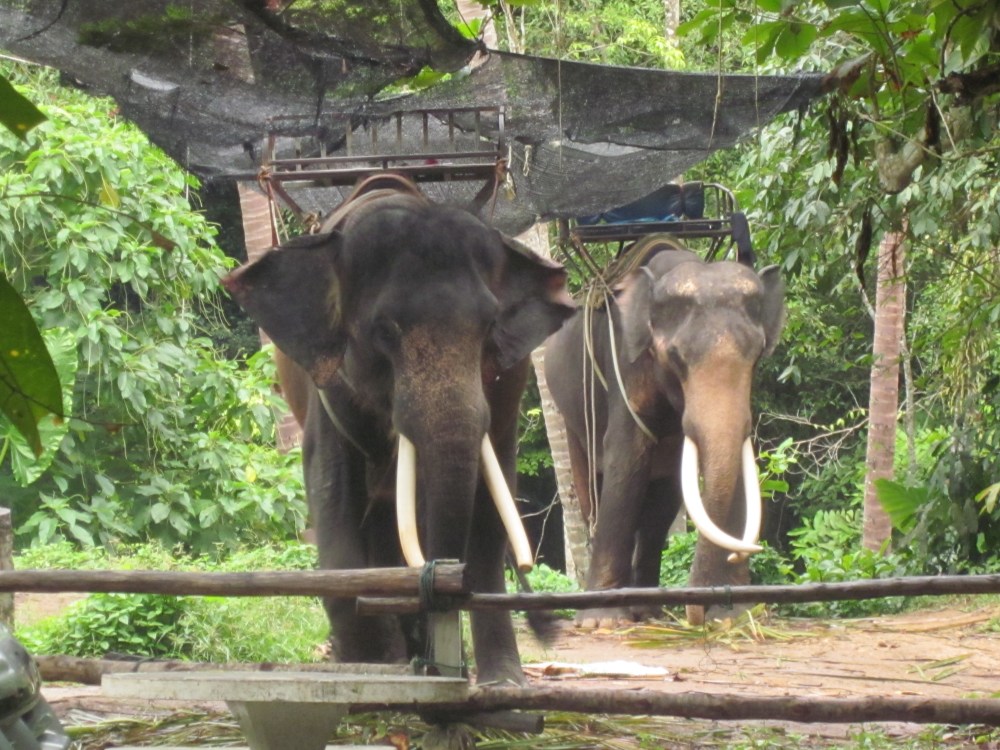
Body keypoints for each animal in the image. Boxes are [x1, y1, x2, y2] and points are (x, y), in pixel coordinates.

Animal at [222, 176, 575, 687]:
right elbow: (335, 513)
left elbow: (479, 517)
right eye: (384, 331)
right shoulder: (327, 389)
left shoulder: (507, 388)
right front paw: (374, 672)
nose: (550, 628)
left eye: (489, 327)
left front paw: (494, 681)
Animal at [544, 237, 785, 627]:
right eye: (676, 357)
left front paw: (734, 617)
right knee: (591, 492)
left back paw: (648, 611)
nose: (697, 613)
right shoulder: (624, 363)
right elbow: (626, 460)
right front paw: (601, 621)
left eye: (757, 355)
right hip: (569, 415)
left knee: (659, 508)